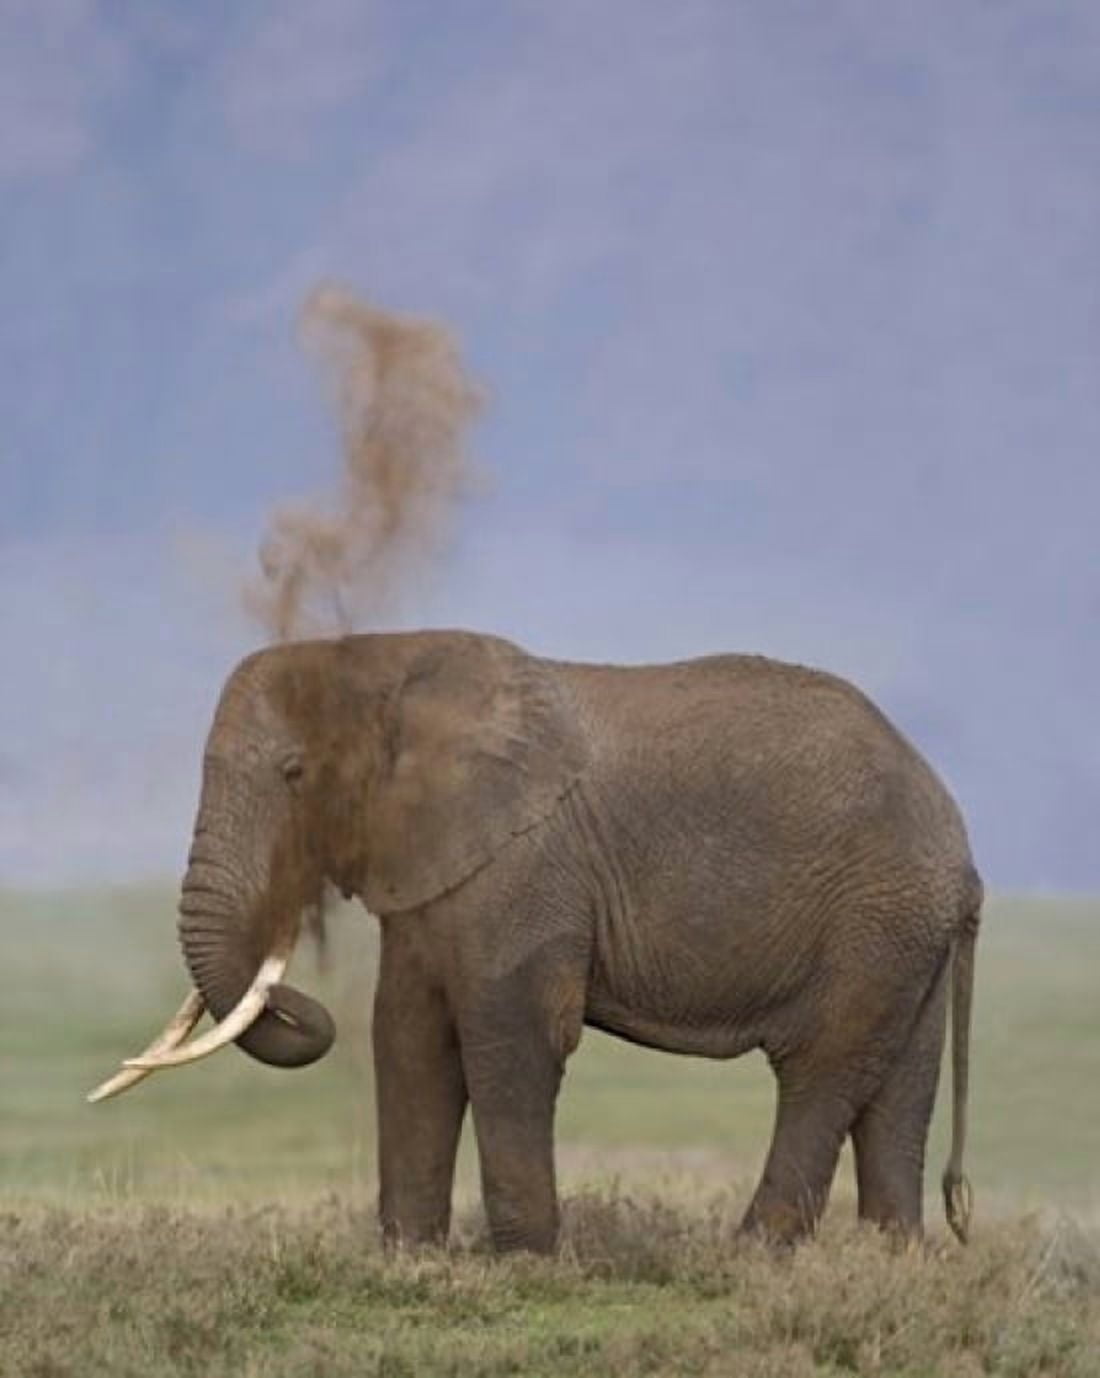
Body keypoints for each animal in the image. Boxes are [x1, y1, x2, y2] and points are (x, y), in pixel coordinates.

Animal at [90, 630, 981, 1253]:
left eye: (293, 773)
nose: (296, 996)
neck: (385, 659)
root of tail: (962, 847)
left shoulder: (523, 869)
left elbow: (510, 1033)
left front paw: (525, 1262)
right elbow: (406, 1033)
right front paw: (409, 1260)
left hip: (877, 917)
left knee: (821, 1071)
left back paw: (750, 1255)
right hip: (907, 933)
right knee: (899, 1083)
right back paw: (890, 1261)